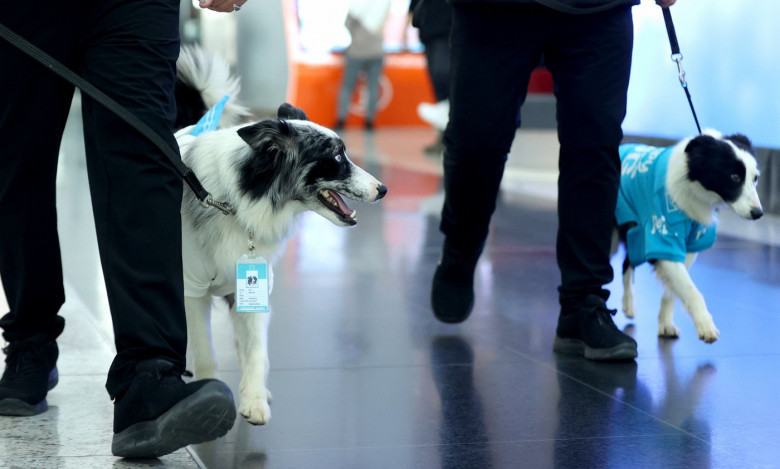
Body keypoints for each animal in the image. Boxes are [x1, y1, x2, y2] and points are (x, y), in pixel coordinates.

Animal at [174, 47, 386, 424]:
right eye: (336, 156)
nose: (383, 189)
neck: (239, 200)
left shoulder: (252, 287)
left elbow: (257, 348)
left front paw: (254, 399)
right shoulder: (192, 289)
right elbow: (203, 347)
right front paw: (210, 392)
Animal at [608, 130, 760, 342]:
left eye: (755, 178)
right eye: (734, 176)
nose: (758, 213)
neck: (695, 187)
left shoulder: (690, 245)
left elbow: (674, 290)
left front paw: (666, 324)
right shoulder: (661, 234)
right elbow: (691, 290)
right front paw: (706, 326)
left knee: (627, 263)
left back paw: (629, 305)